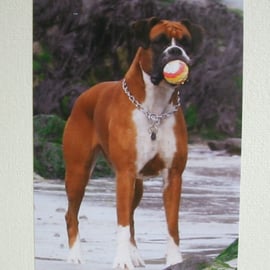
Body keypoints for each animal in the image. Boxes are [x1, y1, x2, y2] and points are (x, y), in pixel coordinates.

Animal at [63, 17, 202, 270]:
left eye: (185, 42)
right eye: (159, 41)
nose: (176, 51)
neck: (155, 107)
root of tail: (85, 95)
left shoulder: (173, 176)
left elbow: (172, 225)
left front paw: (175, 260)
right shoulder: (125, 174)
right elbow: (122, 223)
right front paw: (122, 260)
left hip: (137, 186)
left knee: (132, 216)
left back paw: (135, 254)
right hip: (79, 173)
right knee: (72, 214)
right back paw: (75, 255)